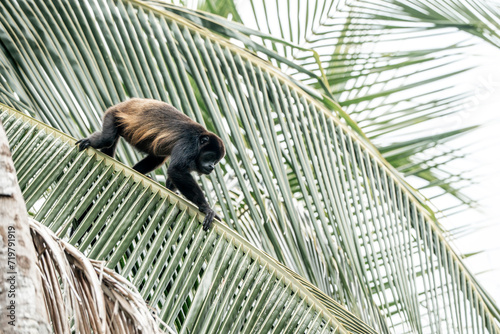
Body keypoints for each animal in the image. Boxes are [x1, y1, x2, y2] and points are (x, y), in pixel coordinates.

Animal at [75, 98, 226, 231]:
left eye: (215, 161)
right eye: (210, 156)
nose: (212, 166)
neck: (200, 141)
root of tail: (123, 104)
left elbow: (174, 174)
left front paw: (172, 191)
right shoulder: (189, 144)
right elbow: (176, 169)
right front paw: (207, 208)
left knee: (157, 157)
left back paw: (136, 171)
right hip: (112, 115)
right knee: (107, 138)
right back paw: (91, 142)